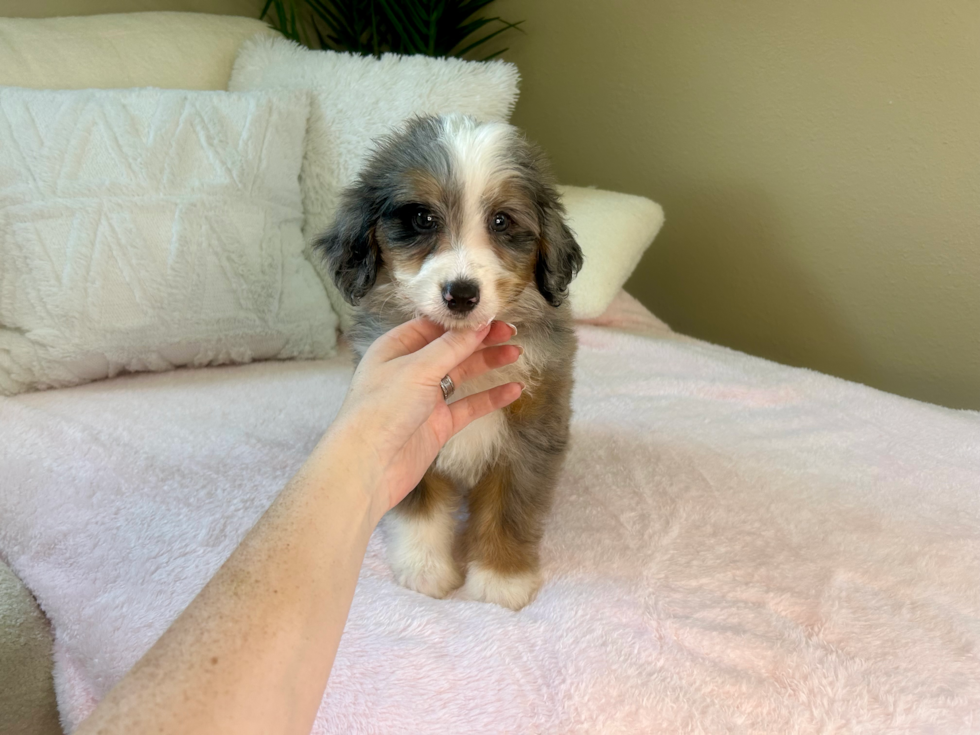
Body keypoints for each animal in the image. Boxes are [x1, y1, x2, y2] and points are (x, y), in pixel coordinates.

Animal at [318, 115, 580, 608]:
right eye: (423, 219)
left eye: (501, 221)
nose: (461, 294)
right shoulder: (408, 430)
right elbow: (419, 508)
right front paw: (425, 569)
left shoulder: (531, 431)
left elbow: (508, 508)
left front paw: (500, 579)